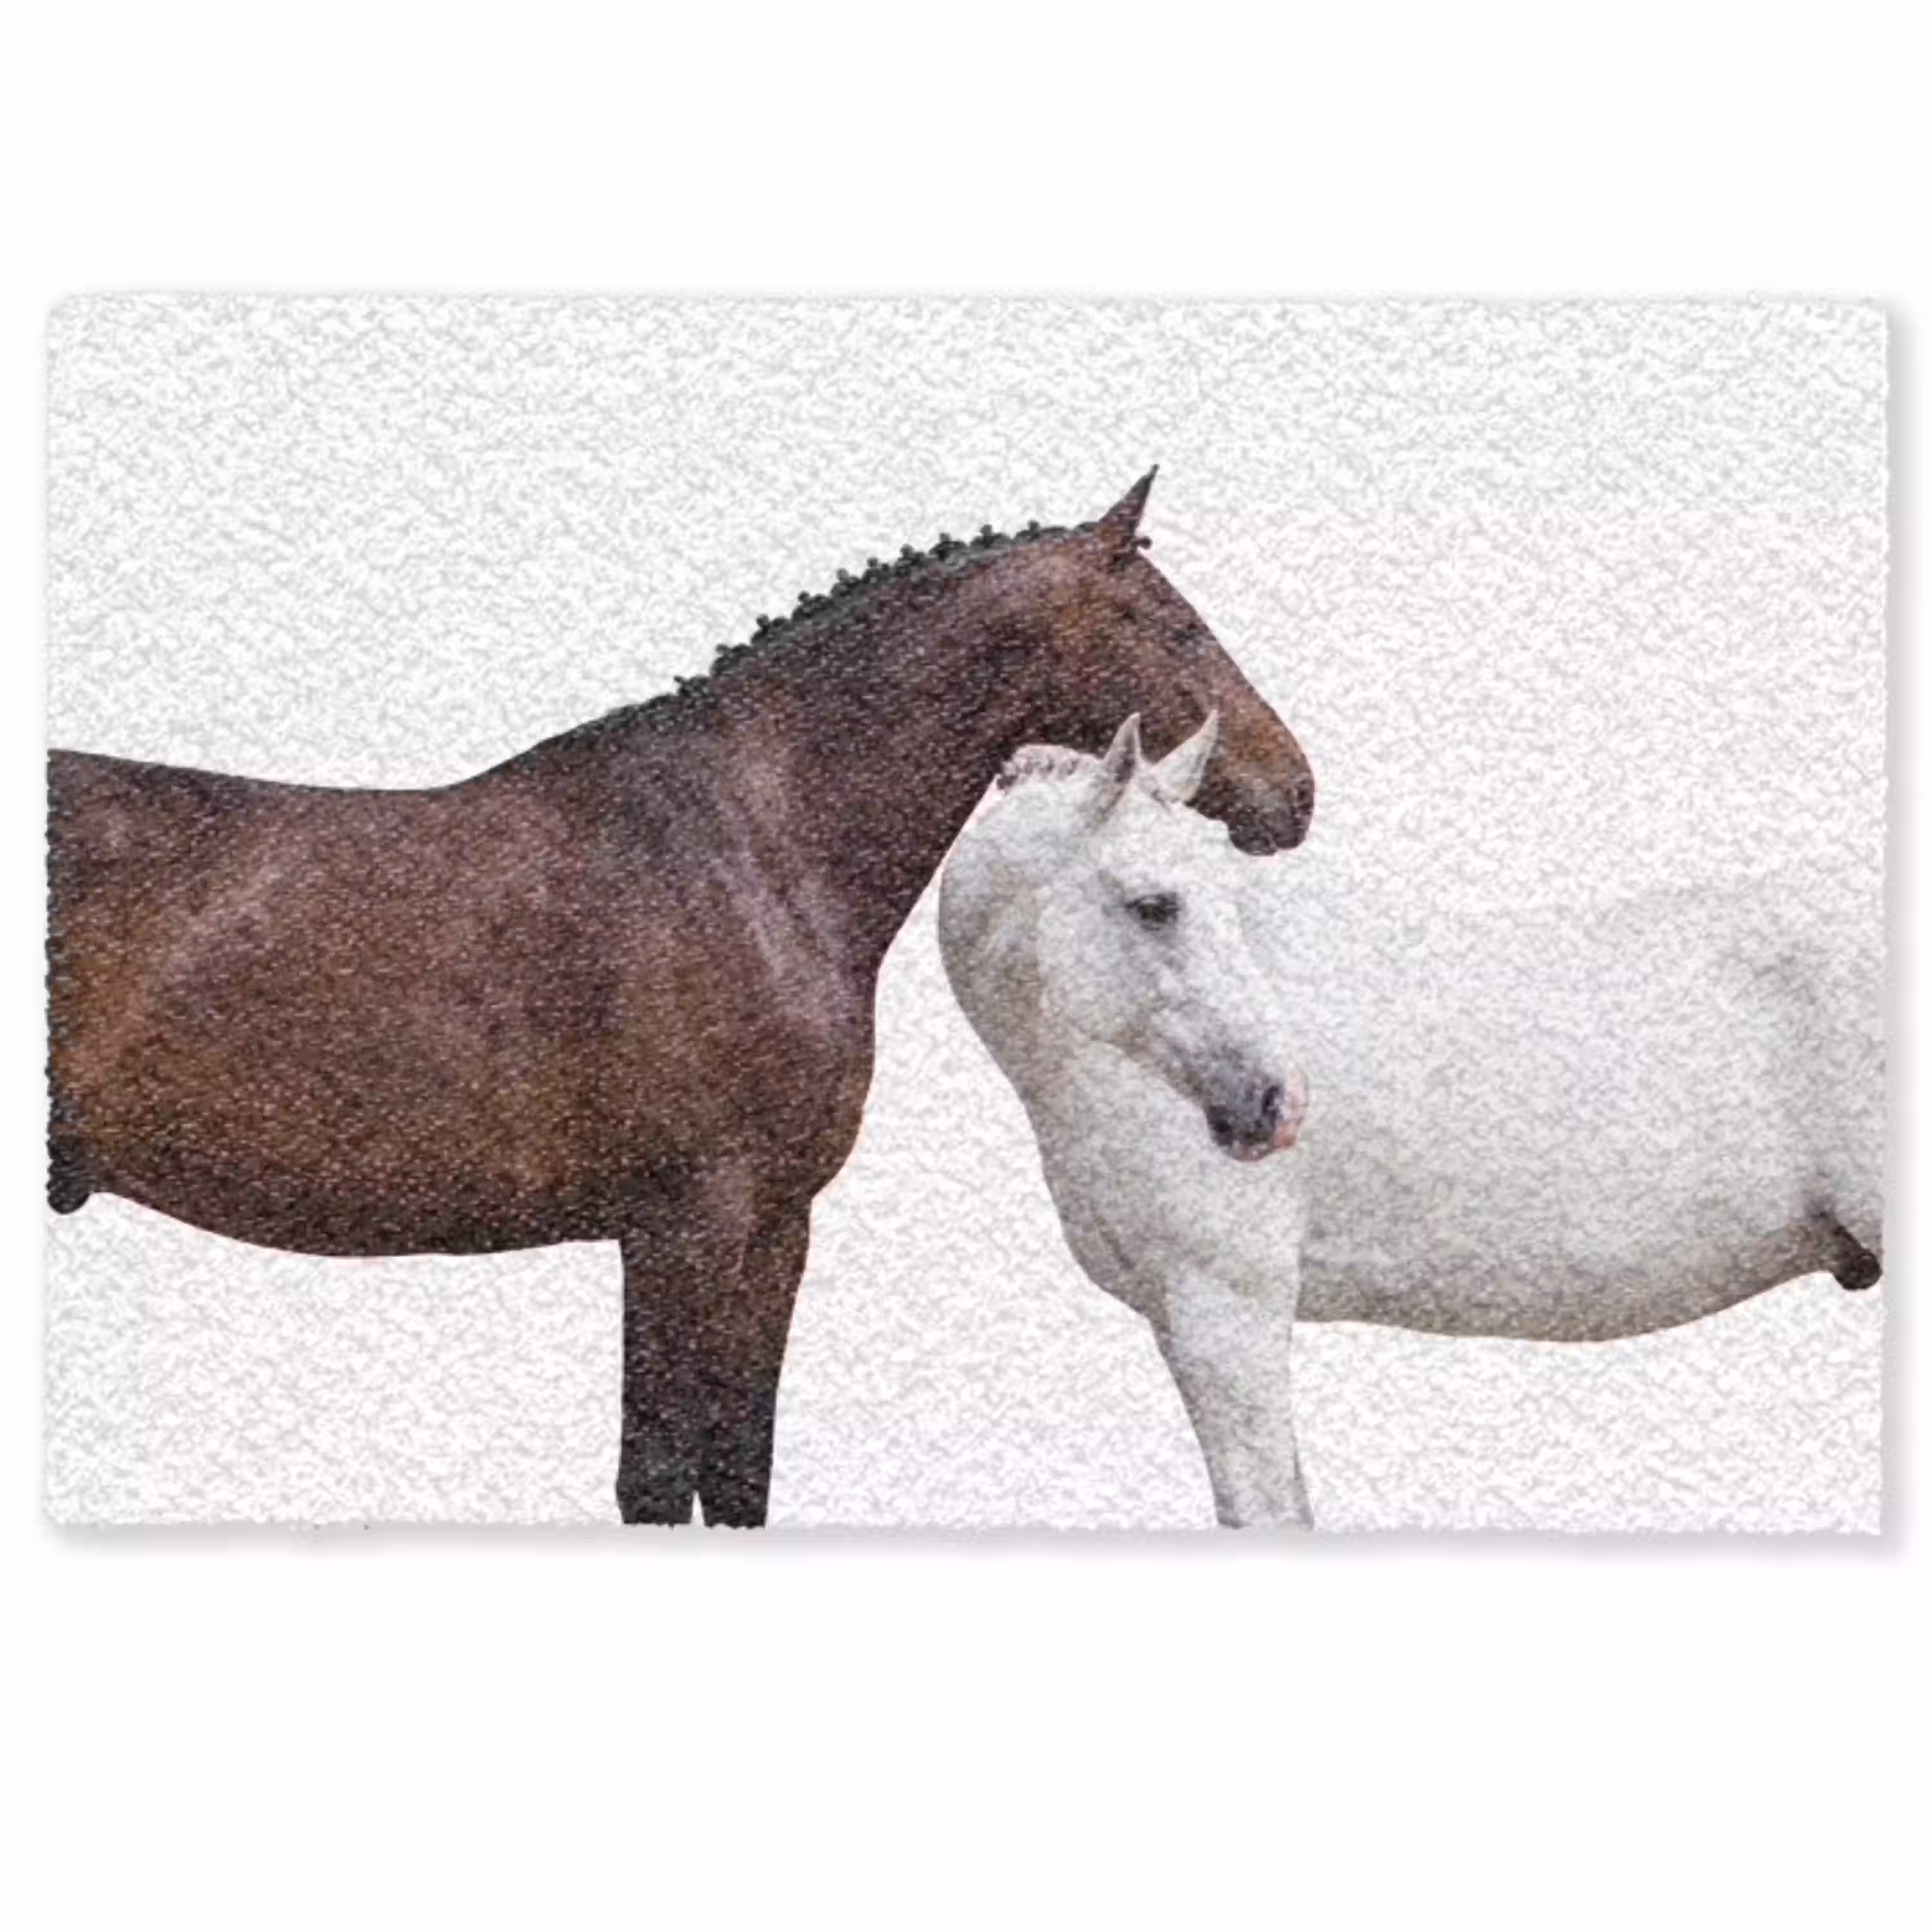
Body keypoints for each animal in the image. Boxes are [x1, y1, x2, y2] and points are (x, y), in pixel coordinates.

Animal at [45, 471, 1316, 1527]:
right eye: (1177, 624)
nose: (1295, 791)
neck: (748, 847)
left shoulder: (774, 1230)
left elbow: (737, 1470)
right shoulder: (681, 1227)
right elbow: (661, 1478)